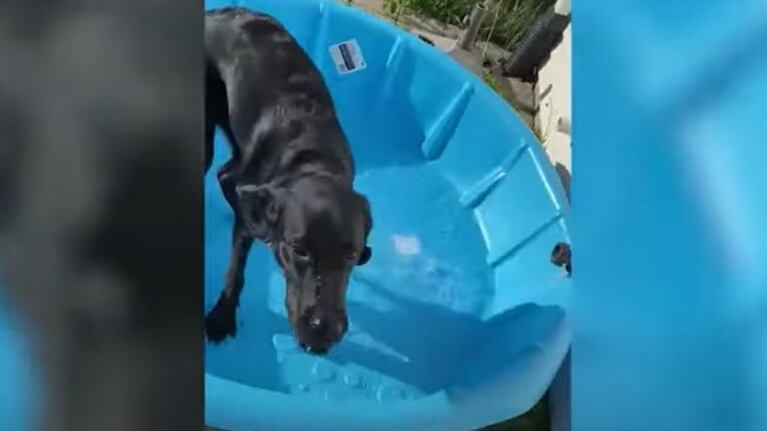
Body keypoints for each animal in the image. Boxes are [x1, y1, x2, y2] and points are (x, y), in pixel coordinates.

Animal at [202, 7, 374, 358]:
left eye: (351, 254)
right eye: (299, 250)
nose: (324, 332)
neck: (314, 159)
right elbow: (235, 272)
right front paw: (222, 317)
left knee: (226, 174)